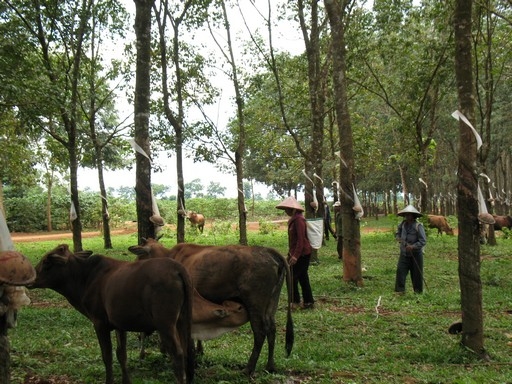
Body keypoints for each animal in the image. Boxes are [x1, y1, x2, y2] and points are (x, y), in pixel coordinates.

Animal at [29, 244, 195, 384]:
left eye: (47, 262)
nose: (31, 279)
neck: (82, 281)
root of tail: (178, 269)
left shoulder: (99, 322)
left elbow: (107, 355)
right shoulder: (119, 324)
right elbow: (121, 354)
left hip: (165, 323)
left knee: (178, 354)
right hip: (182, 319)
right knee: (188, 350)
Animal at [128, 238, 294, 376]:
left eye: (140, 255)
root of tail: (268, 251)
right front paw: (198, 351)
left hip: (255, 302)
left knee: (260, 332)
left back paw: (248, 369)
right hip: (272, 302)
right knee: (272, 329)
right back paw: (270, 366)